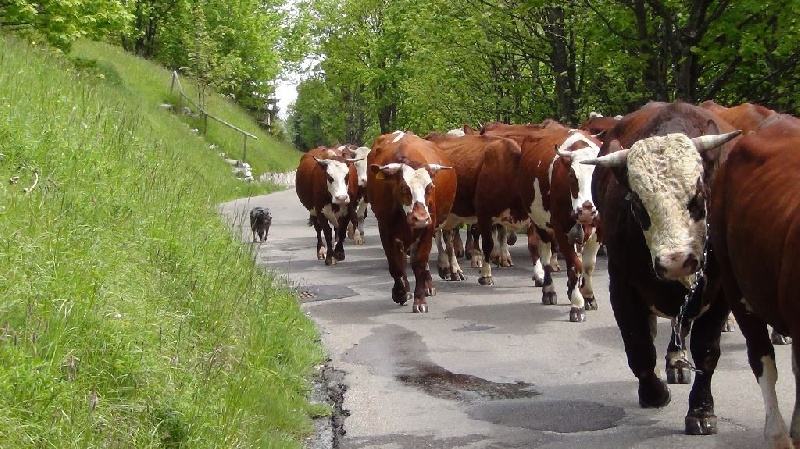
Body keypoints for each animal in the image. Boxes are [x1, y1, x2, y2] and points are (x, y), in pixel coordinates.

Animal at [368, 130, 456, 312]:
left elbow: (419, 263)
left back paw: (428, 286)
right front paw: (400, 293)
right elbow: (395, 264)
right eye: (403, 188)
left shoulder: (428, 226)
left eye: (430, 187)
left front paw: (420, 299)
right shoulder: (385, 229)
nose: (420, 217)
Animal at [584, 100, 740, 434]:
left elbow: (707, 351)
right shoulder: (622, 285)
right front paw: (653, 394)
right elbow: (638, 344)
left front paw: (701, 410)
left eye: (698, 195)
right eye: (638, 203)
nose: (676, 261)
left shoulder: (720, 292)